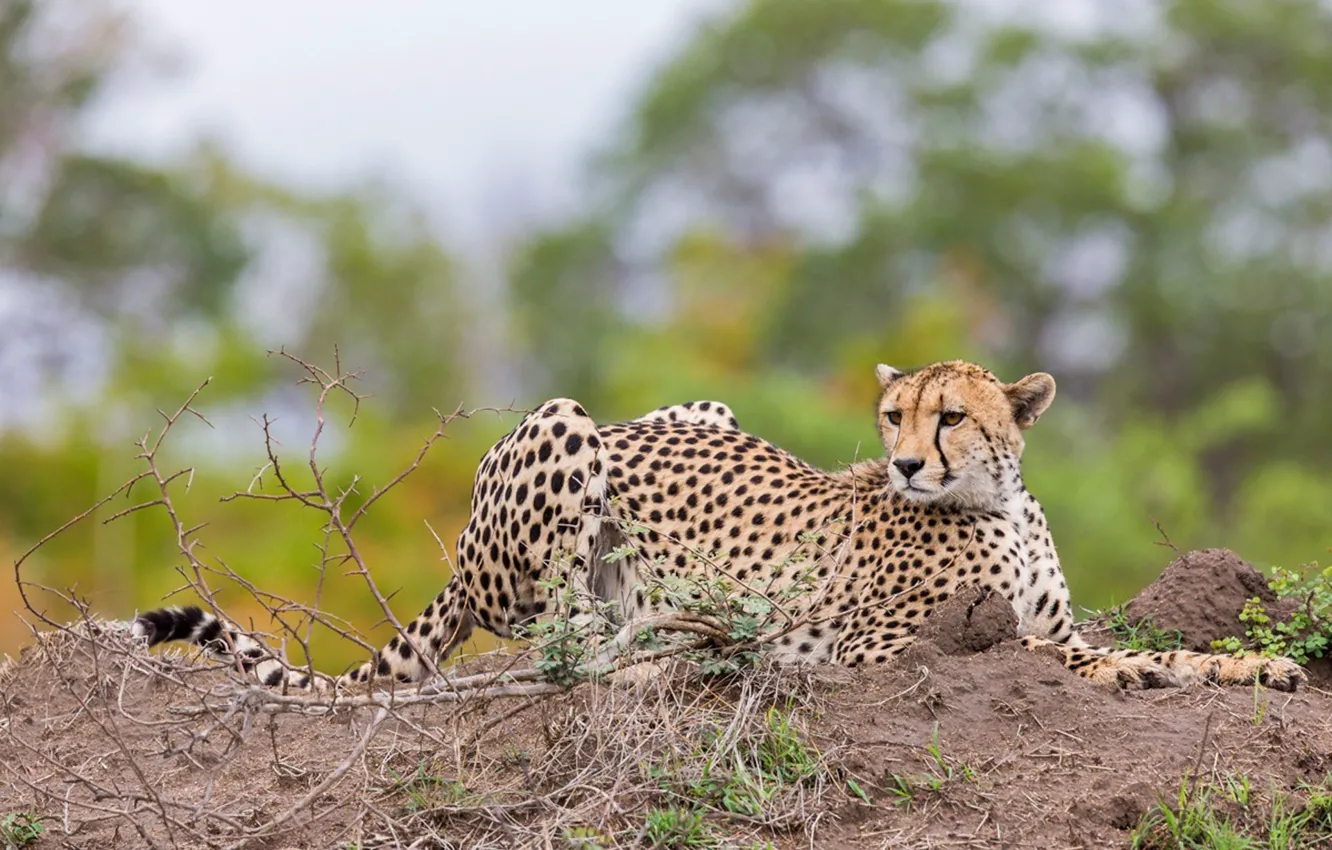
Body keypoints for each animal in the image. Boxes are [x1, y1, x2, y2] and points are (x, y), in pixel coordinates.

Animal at [132, 360, 1306, 693]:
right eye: (893, 415)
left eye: (951, 417)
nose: (904, 462)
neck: (991, 501)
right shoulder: (883, 645)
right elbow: (1053, 654)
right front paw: (1137, 674)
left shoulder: (1053, 617)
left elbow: (1140, 647)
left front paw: (1246, 669)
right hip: (564, 431)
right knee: (559, 638)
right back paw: (668, 643)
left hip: (702, 407)